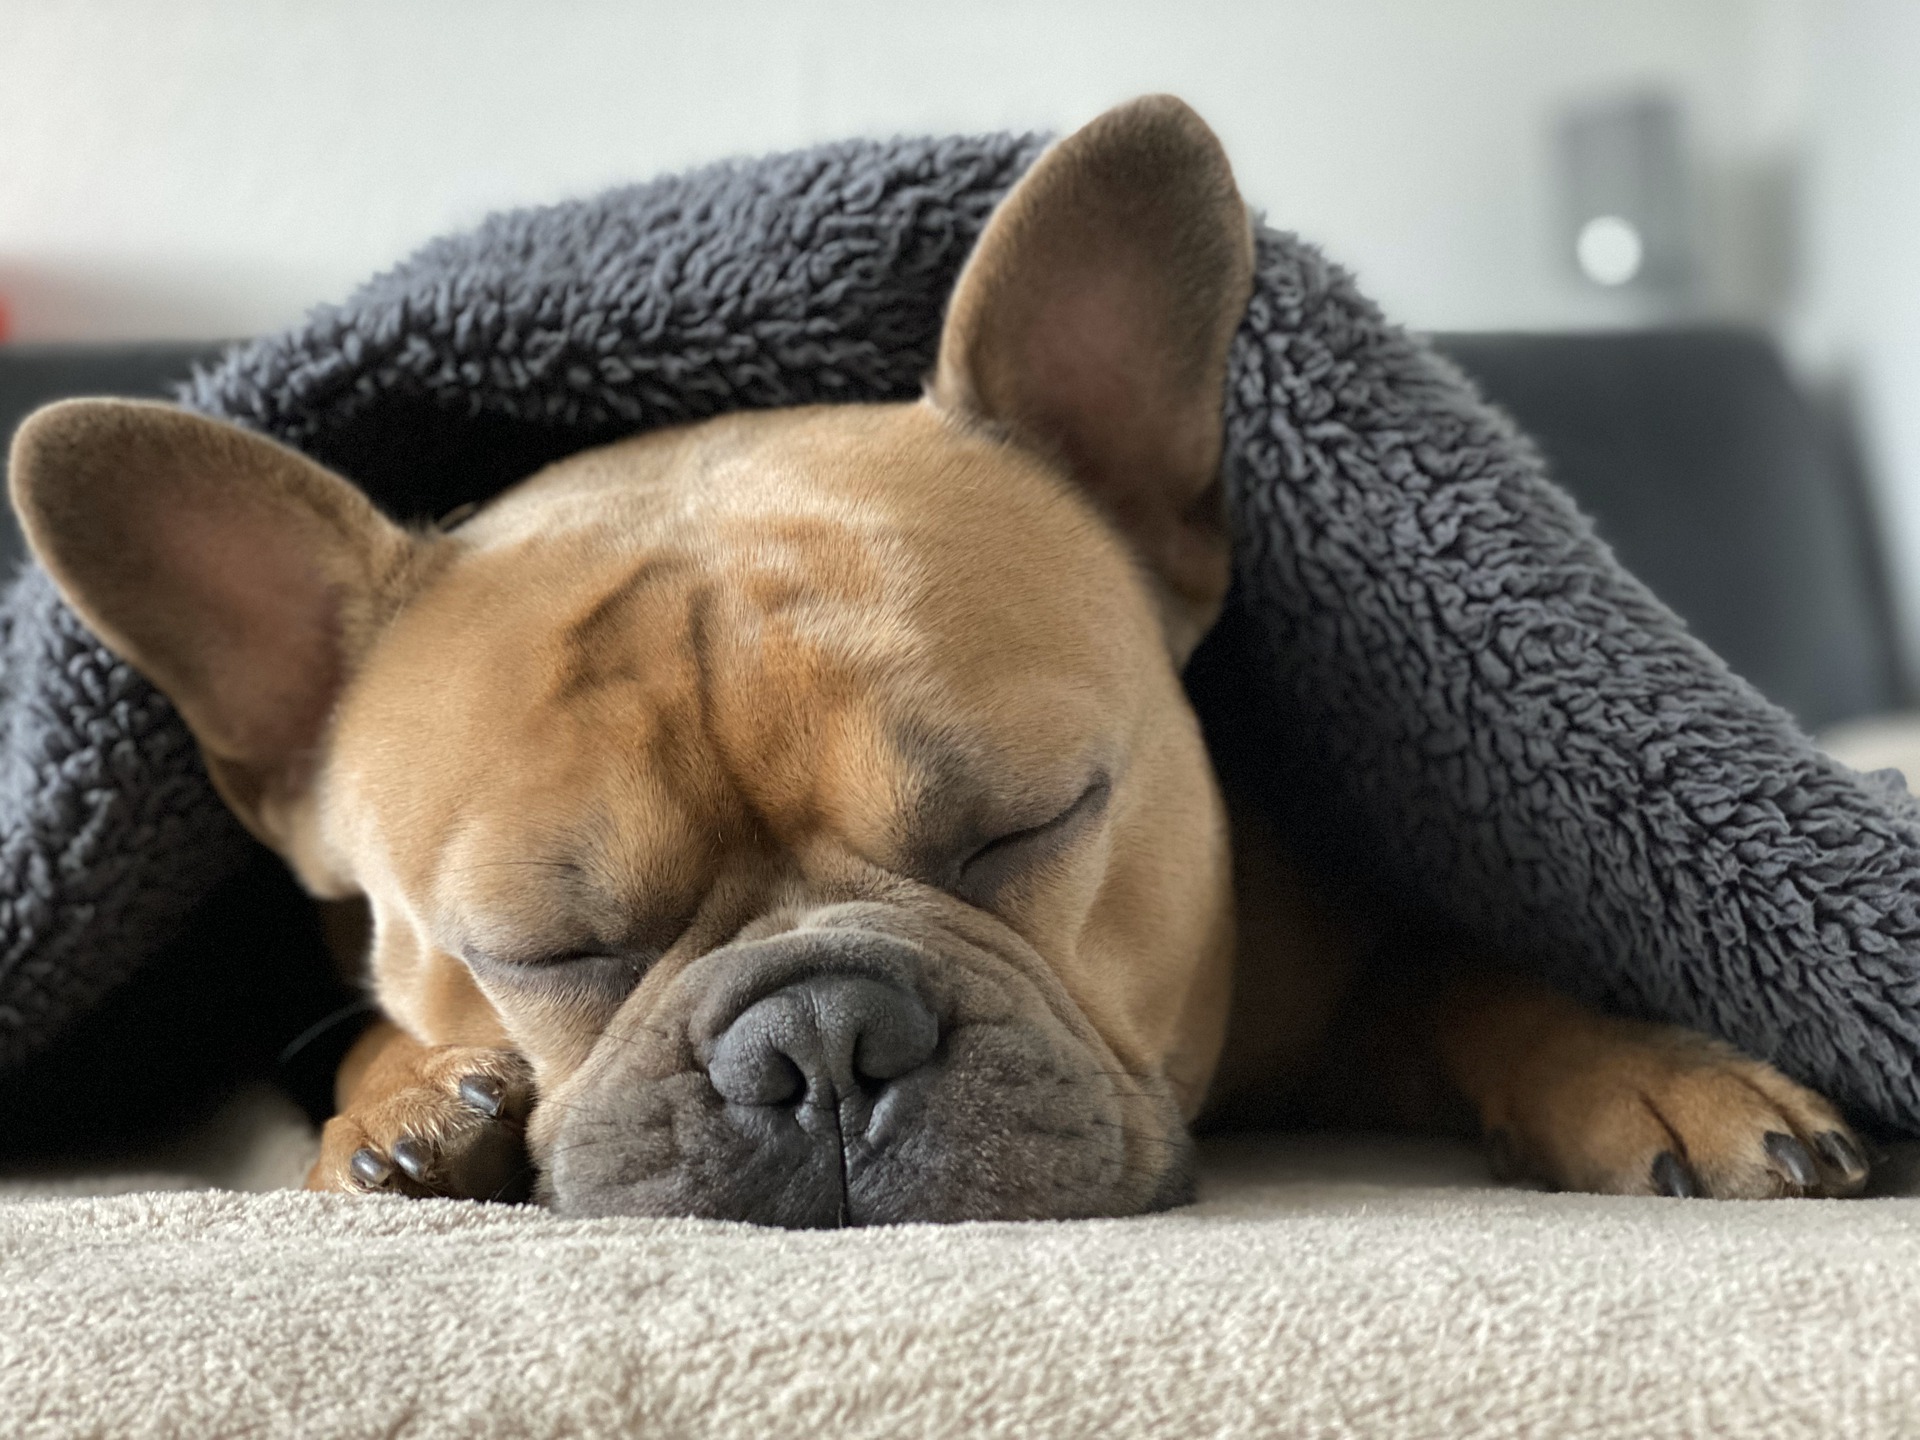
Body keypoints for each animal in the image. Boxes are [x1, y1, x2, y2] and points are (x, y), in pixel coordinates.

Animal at [7, 96, 1866, 1221]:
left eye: (1030, 824)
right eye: (544, 947)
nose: (817, 1041)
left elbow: (1476, 971)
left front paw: (1652, 1067)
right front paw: (406, 1102)